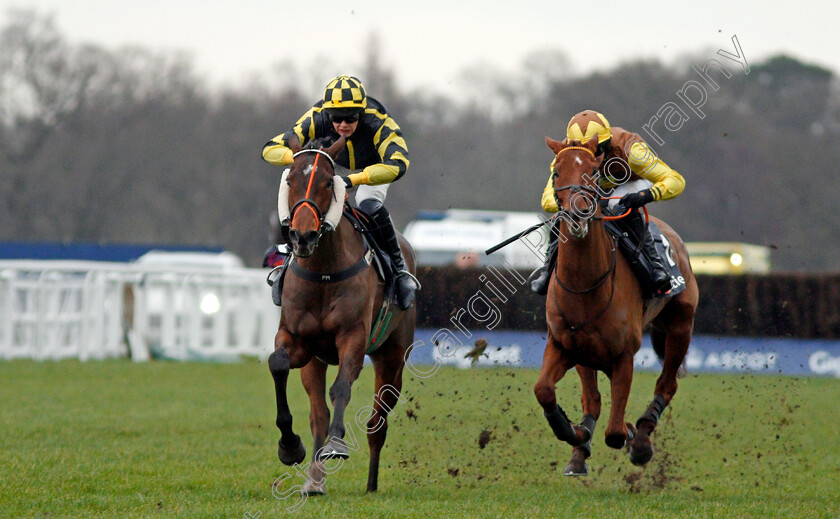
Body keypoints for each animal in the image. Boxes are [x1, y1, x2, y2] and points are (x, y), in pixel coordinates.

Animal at [270, 134, 416, 496]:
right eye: (289, 181)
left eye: (327, 182)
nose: (303, 236)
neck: (323, 270)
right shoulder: (299, 341)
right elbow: (278, 364)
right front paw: (289, 446)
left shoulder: (353, 336)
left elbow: (342, 389)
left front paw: (336, 444)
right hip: (316, 361)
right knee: (318, 415)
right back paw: (314, 480)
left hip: (393, 357)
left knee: (378, 421)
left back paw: (372, 484)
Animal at [536, 135, 700, 476]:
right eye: (556, 173)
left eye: (593, 173)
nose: (578, 213)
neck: (585, 287)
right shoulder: (567, 345)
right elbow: (550, 392)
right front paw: (574, 435)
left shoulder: (624, 354)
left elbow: (614, 432)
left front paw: (629, 436)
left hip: (681, 326)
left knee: (667, 385)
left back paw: (642, 441)